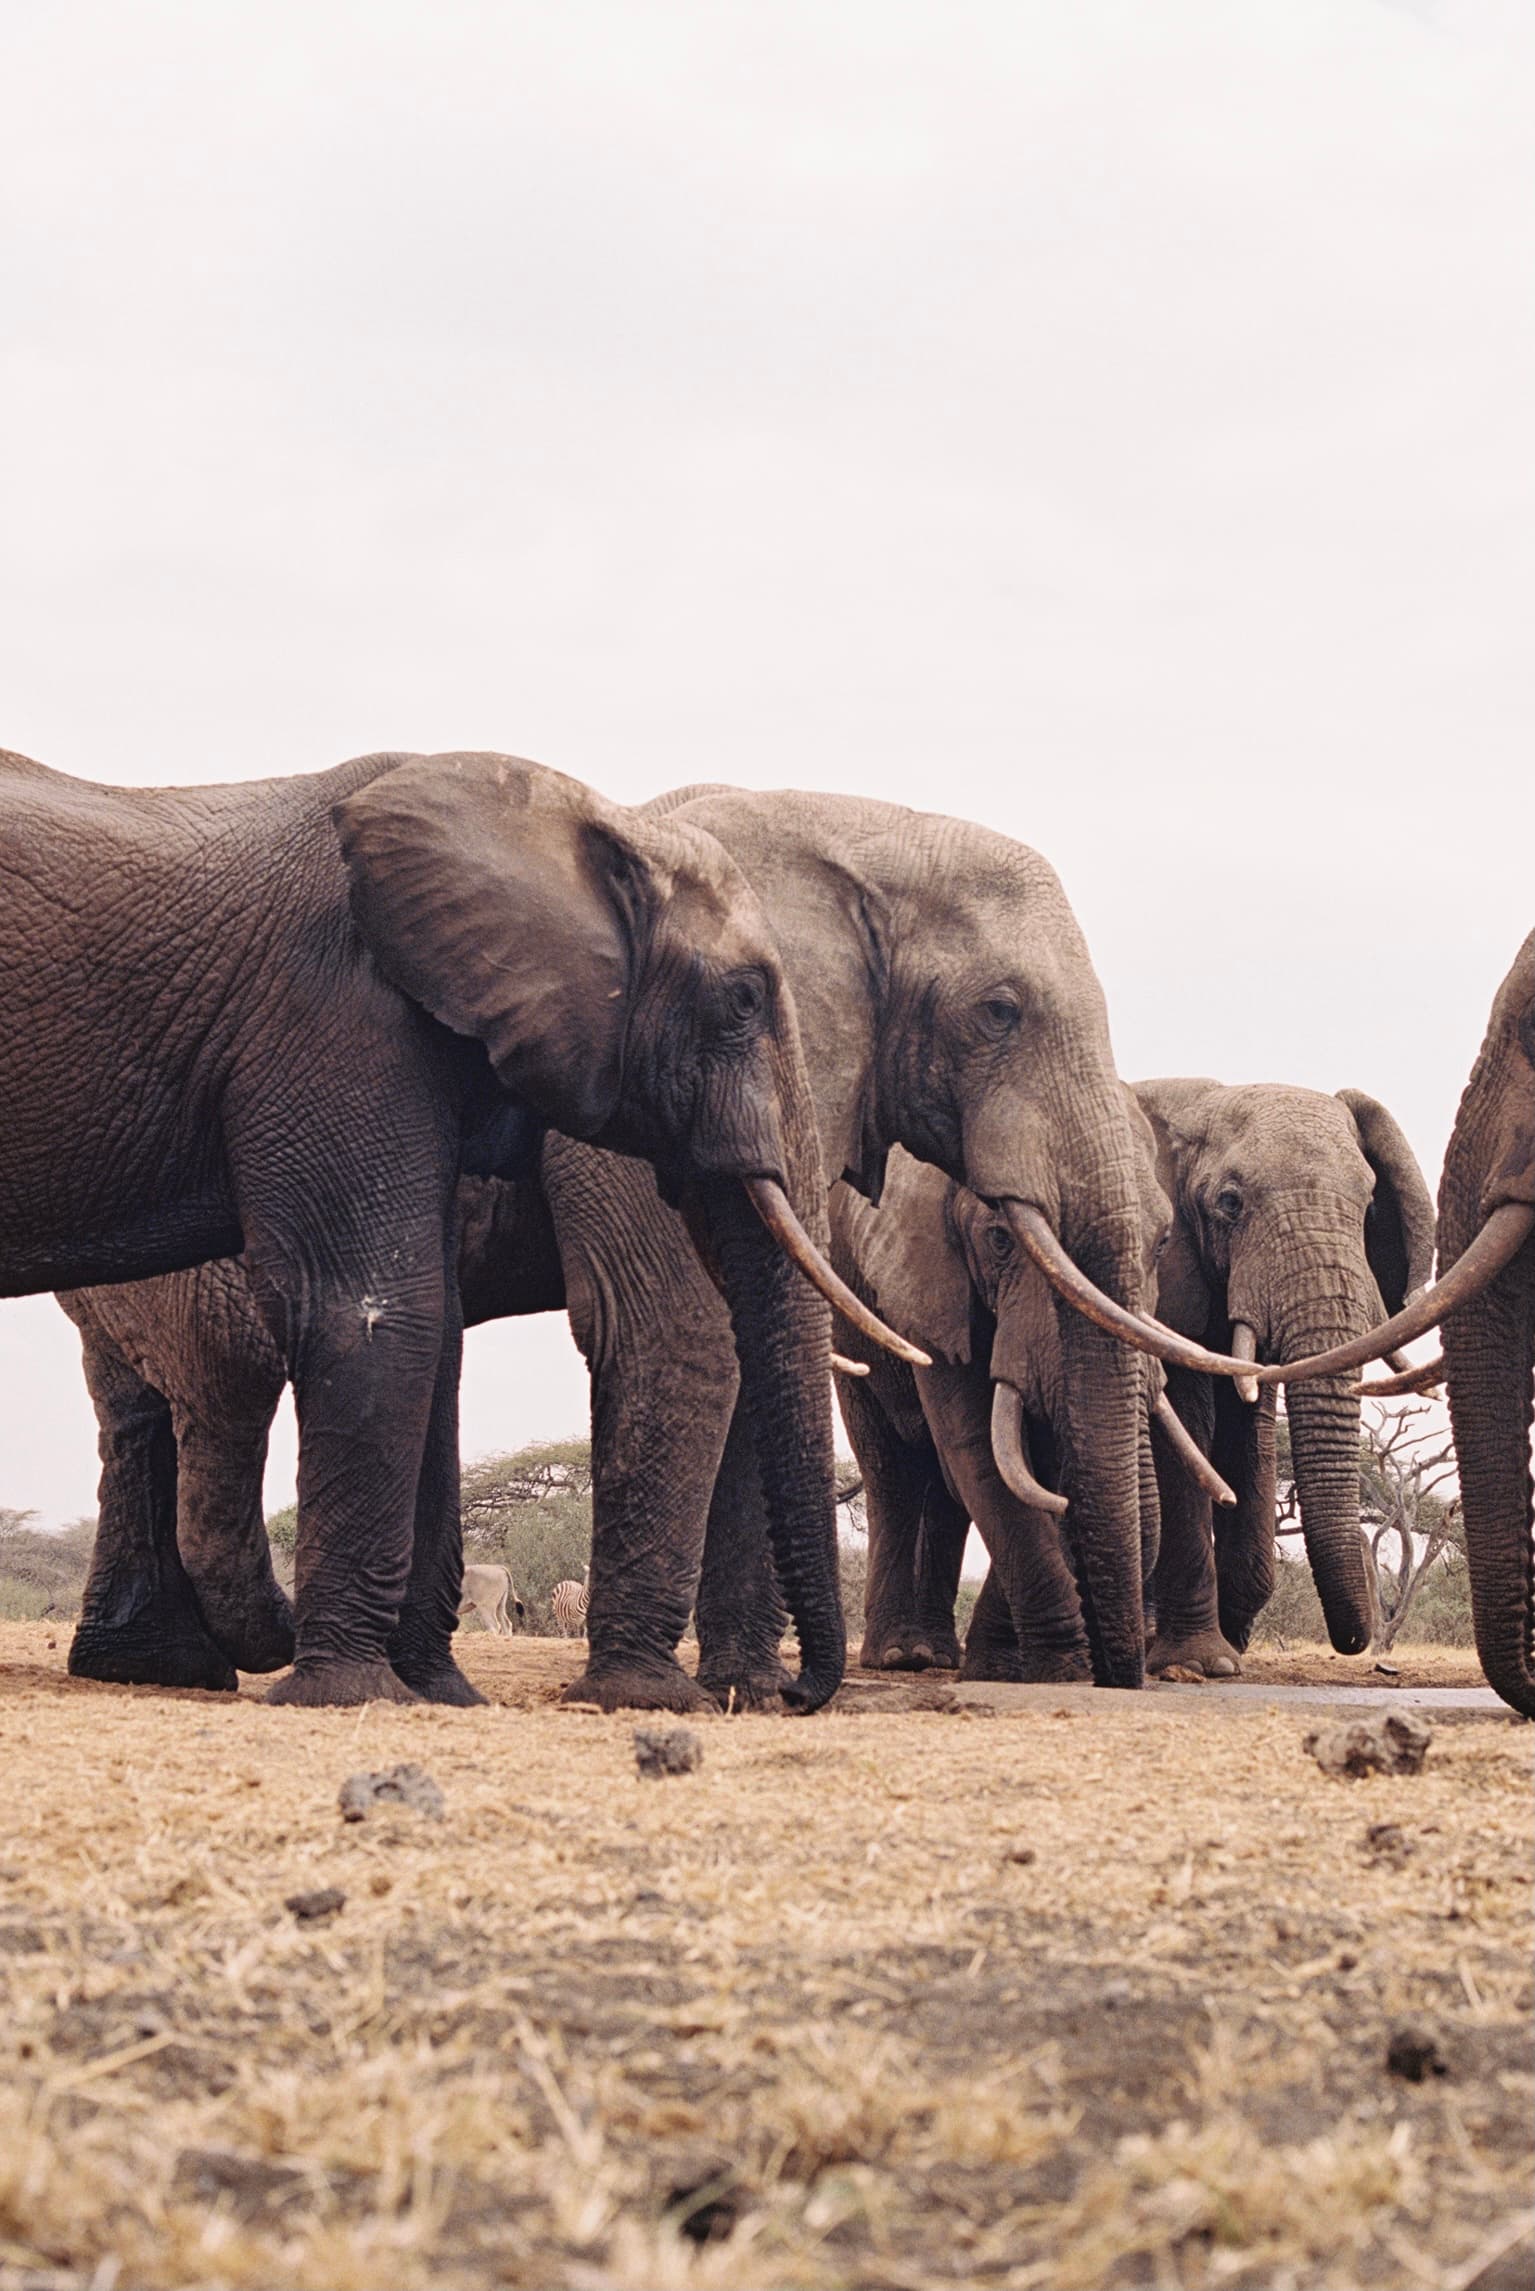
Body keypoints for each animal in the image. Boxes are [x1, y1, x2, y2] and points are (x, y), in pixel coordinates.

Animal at [3, 746, 886, 1709]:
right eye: (744, 998)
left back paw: (161, 1670)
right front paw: (353, 1694)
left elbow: (433, 1328)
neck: (573, 816)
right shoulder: (341, 1010)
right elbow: (381, 1310)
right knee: (223, 1375)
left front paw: (432, 1694)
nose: (797, 1694)